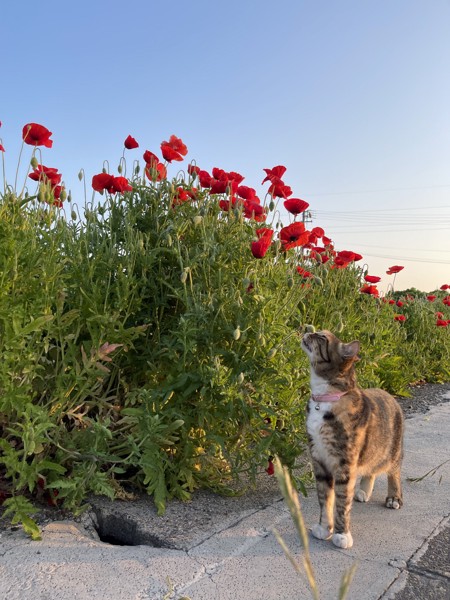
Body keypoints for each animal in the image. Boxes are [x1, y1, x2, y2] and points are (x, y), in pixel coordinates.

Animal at [300, 330, 402, 552]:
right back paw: (363, 491)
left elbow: (341, 502)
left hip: (392, 451)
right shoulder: (319, 460)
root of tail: (387, 393)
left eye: (322, 337)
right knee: (371, 469)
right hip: (372, 449)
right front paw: (324, 528)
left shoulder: (344, 464)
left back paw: (394, 497)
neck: (325, 399)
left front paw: (342, 534)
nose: (307, 329)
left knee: (394, 471)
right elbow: (324, 499)